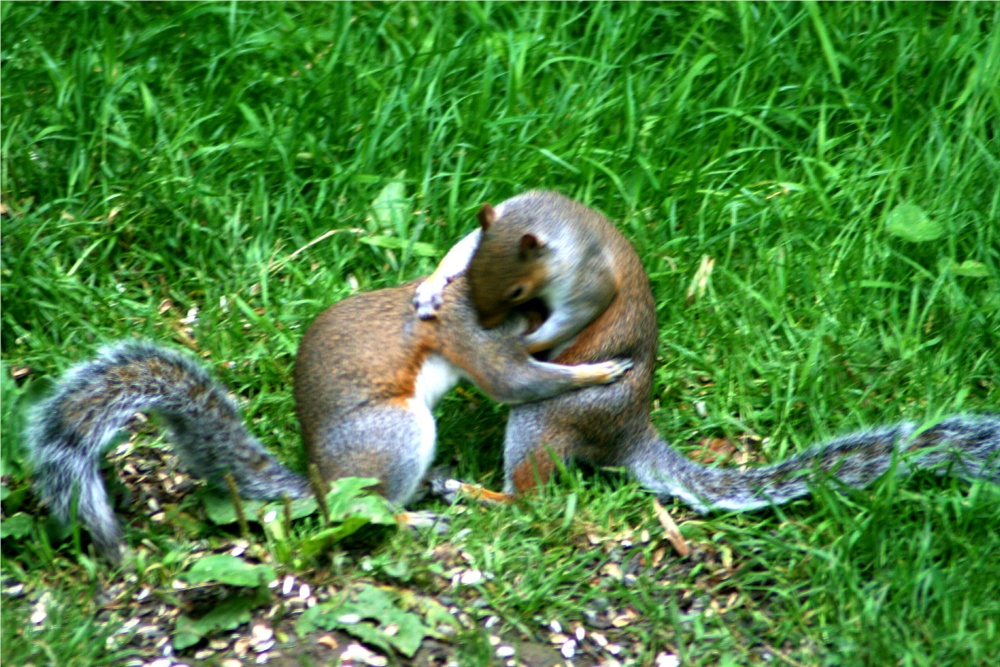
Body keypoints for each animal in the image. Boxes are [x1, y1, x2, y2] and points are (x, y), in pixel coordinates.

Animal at [27, 276, 628, 564]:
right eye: (535, 301)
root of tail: (323, 483)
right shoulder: (474, 335)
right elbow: (513, 382)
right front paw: (597, 372)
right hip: (398, 431)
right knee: (368, 509)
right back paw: (415, 518)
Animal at [414, 193, 1000, 512]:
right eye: (473, 277)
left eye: (515, 291)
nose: (486, 322)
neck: (552, 221)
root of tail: (628, 433)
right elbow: (459, 249)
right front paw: (434, 283)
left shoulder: (588, 281)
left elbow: (574, 318)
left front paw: (524, 344)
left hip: (546, 418)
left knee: (530, 496)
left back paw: (473, 492)